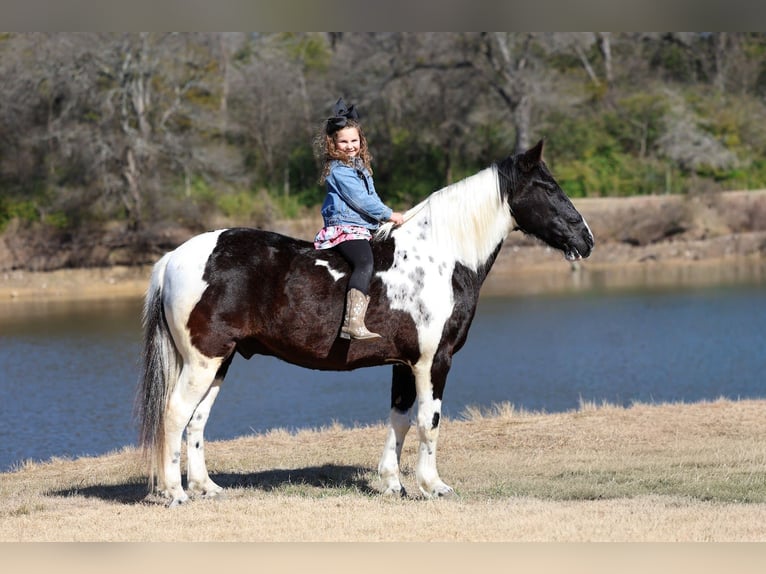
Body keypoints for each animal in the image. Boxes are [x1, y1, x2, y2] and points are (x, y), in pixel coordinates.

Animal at [134, 139, 594, 506]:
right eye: (549, 188)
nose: (586, 239)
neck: (440, 256)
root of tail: (173, 258)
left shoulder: (403, 364)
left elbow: (400, 419)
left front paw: (393, 484)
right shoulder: (433, 361)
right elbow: (429, 421)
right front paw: (433, 486)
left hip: (220, 361)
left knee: (196, 421)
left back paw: (207, 488)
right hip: (203, 361)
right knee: (175, 414)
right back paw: (175, 493)